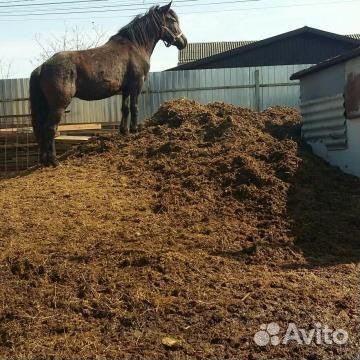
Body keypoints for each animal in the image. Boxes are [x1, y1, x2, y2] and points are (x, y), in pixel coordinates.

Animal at [29, 1, 187, 166]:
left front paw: (124, 132)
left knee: (41, 129)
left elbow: (125, 108)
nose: (184, 42)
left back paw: (44, 160)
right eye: (172, 20)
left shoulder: (125, 88)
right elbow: (134, 107)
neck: (135, 46)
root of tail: (42, 67)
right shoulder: (136, 84)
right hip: (58, 105)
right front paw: (134, 130)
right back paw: (53, 161)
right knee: (49, 128)